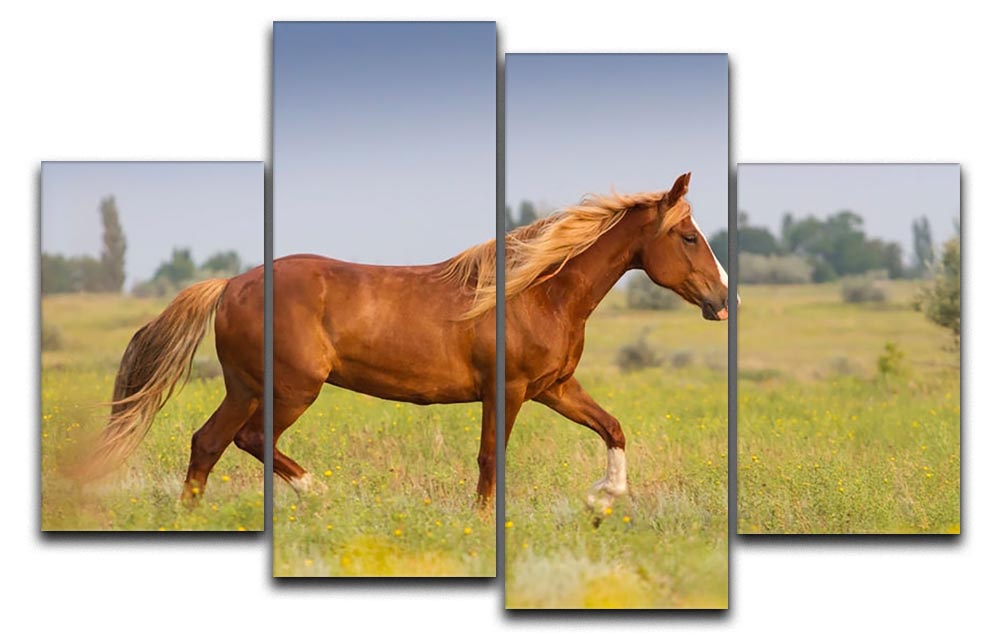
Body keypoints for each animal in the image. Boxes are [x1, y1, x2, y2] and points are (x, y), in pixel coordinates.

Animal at [498, 172, 730, 514]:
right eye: (690, 237)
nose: (729, 299)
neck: (542, 297)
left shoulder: (551, 386)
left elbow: (612, 427)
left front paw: (602, 497)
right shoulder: (511, 390)